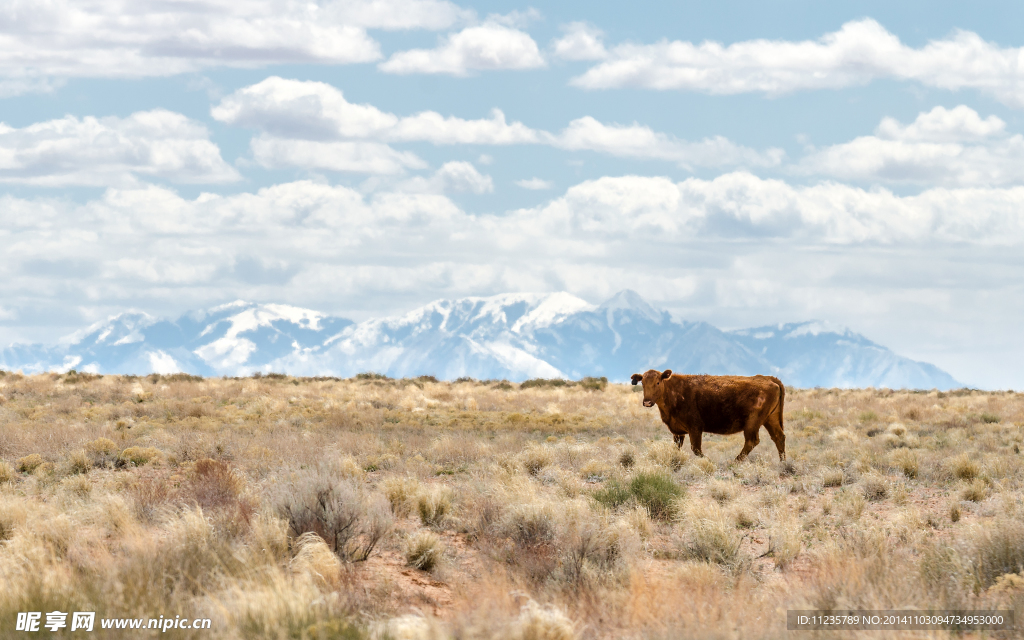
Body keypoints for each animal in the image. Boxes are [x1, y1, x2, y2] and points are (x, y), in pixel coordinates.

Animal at [626, 368, 786, 458]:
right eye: (642, 383)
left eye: (658, 382)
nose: (647, 402)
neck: (674, 391)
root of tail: (768, 378)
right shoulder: (678, 432)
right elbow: (677, 448)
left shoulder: (695, 428)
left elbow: (696, 449)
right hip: (770, 419)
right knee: (779, 437)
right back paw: (782, 463)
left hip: (753, 423)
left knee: (752, 441)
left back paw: (734, 463)